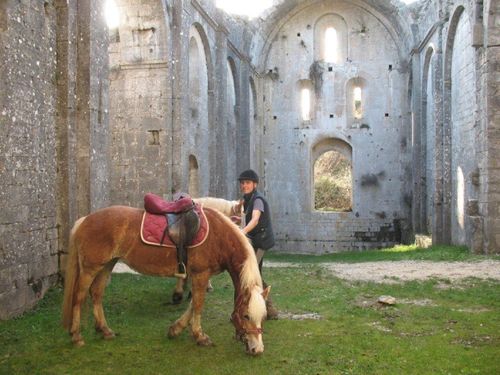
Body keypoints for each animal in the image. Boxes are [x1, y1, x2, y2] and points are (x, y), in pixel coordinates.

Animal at [61, 206, 270, 356]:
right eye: (246, 316)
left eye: (263, 317)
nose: (257, 349)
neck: (218, 237)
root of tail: (85, 219)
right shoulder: (201, 274)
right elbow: (198, 304)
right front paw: (199, 336)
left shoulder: (199, 276)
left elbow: (193, 304)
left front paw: (176, 329)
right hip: (90, 269)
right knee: (79, 297)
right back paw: (76, 336)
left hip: (106, 265)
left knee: (96, 294)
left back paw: (105, 330)